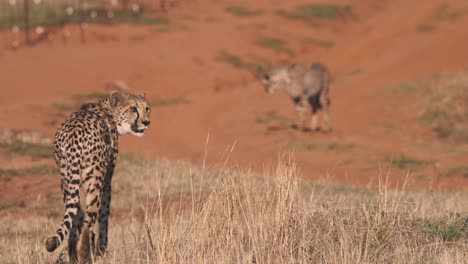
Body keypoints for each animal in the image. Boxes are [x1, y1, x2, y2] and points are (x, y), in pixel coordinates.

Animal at [45, 90, 151, 262]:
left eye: (147, 108)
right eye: (133, 109)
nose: (146, 122)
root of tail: (74, 134)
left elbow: (77, 214)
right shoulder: (107, 180)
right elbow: (103, 214)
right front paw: (101, 247)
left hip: (66, 177)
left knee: (75, 214)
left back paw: (74, 253)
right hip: (95, 178)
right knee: (88, 221)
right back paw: (85, 254)